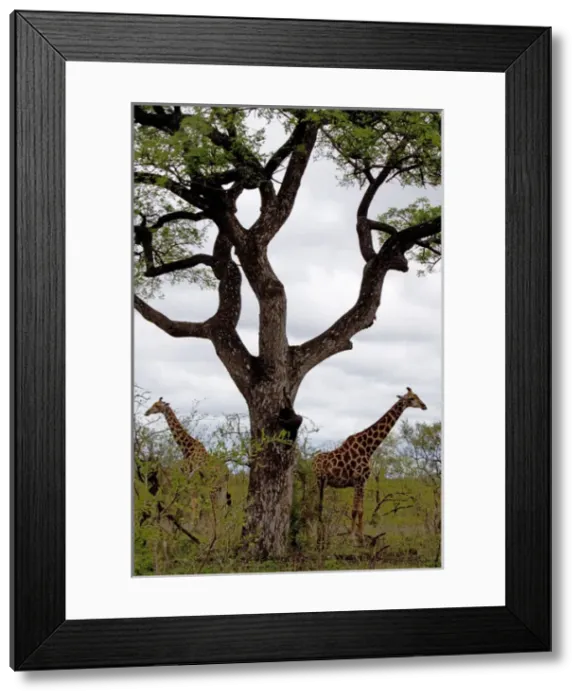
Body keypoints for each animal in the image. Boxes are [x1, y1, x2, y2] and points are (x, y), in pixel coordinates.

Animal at [313, 387, 427, 543]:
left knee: (318, 506)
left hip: (323, 483)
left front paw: (361, 538)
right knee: (317, 507)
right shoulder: (357, 479)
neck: (369, 448)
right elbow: (354, 510)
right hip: (319, 481)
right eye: (411, 398)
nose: (424, 406)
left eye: (417, 396)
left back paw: (320, 537)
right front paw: (351, 538)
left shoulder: (363, 481)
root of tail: (313, 461)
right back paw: (318, 538)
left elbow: (361, 511)